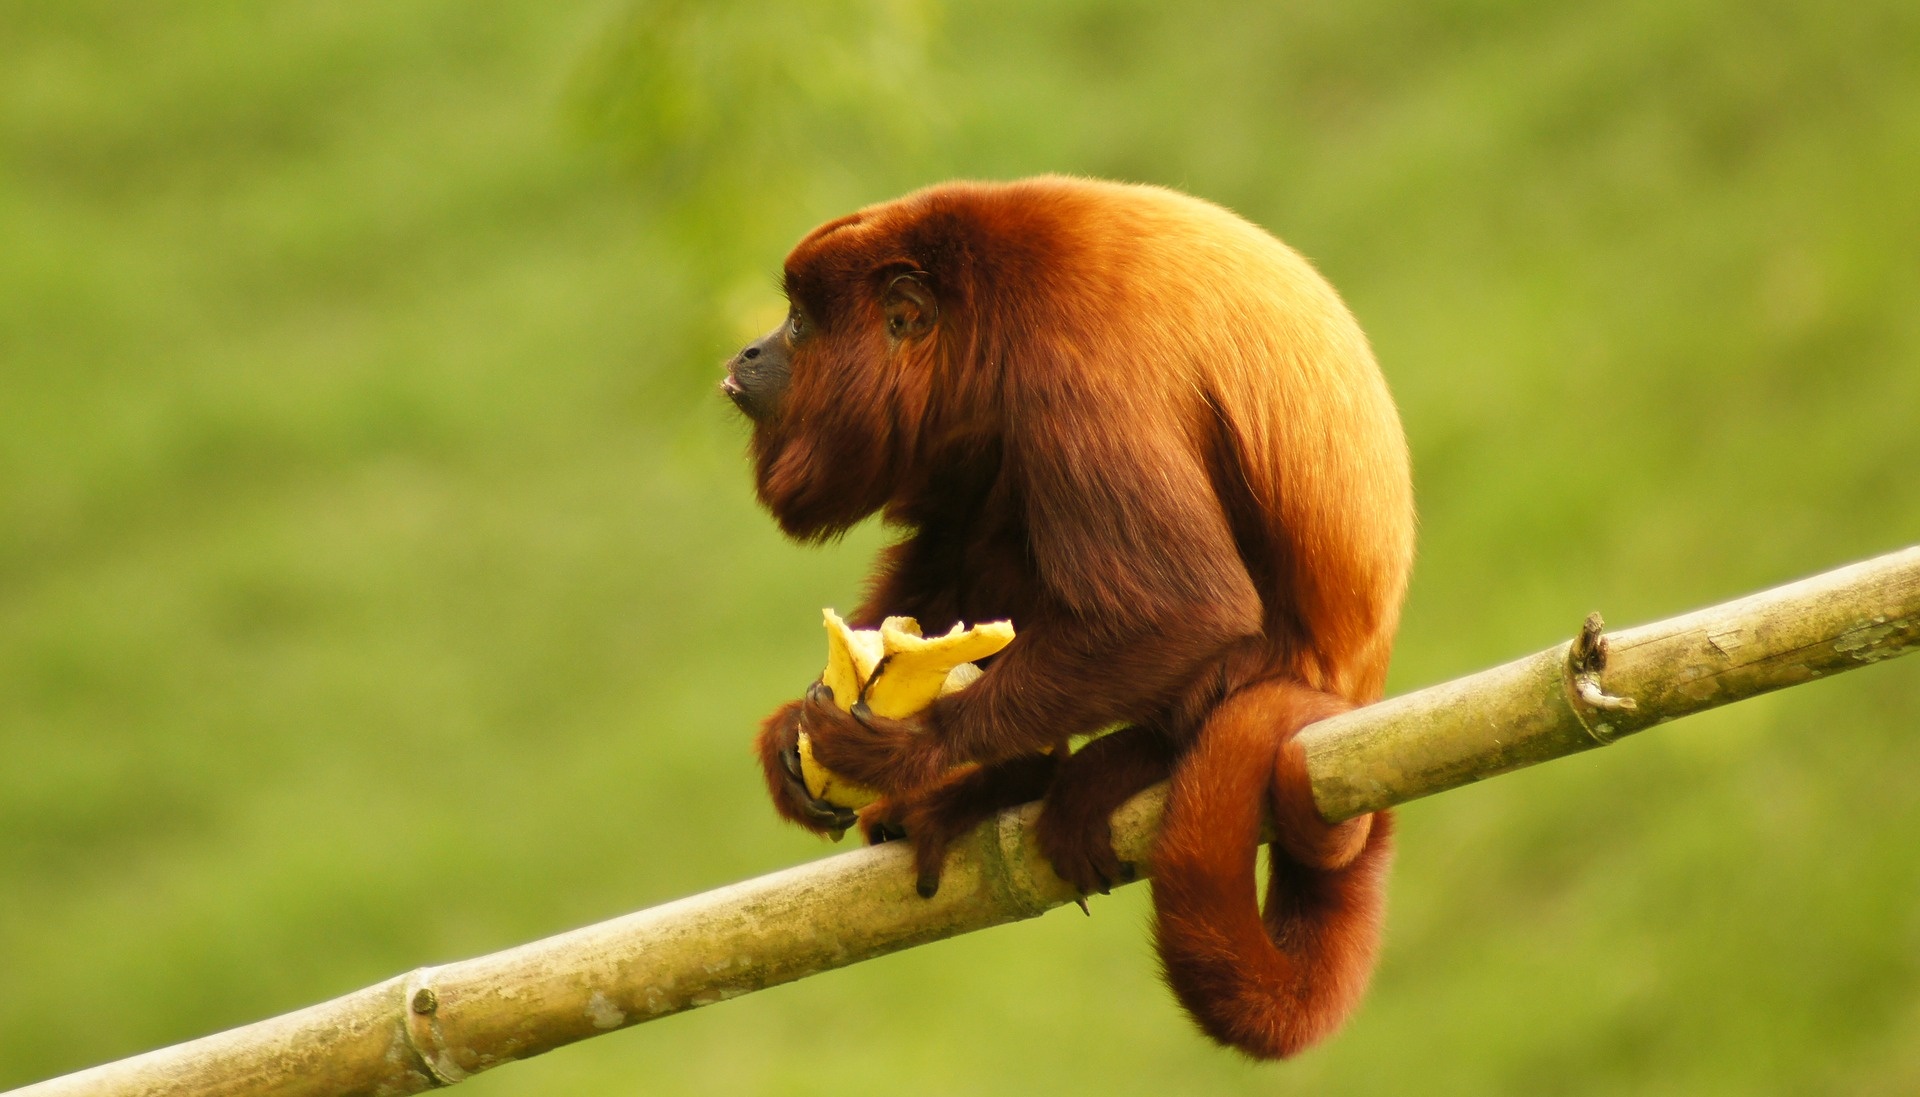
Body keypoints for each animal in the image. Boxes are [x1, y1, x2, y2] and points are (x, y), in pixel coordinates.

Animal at [721, 175, 1413, 1060]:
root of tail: (1356, 682)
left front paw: (910, 750)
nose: (748, 352)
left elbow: (1189, 601)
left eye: (799, 323)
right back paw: (1008, 779)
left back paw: (1122, 760)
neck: (981, 315)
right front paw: (792, 730)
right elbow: (945, 546)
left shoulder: (1069, 366)